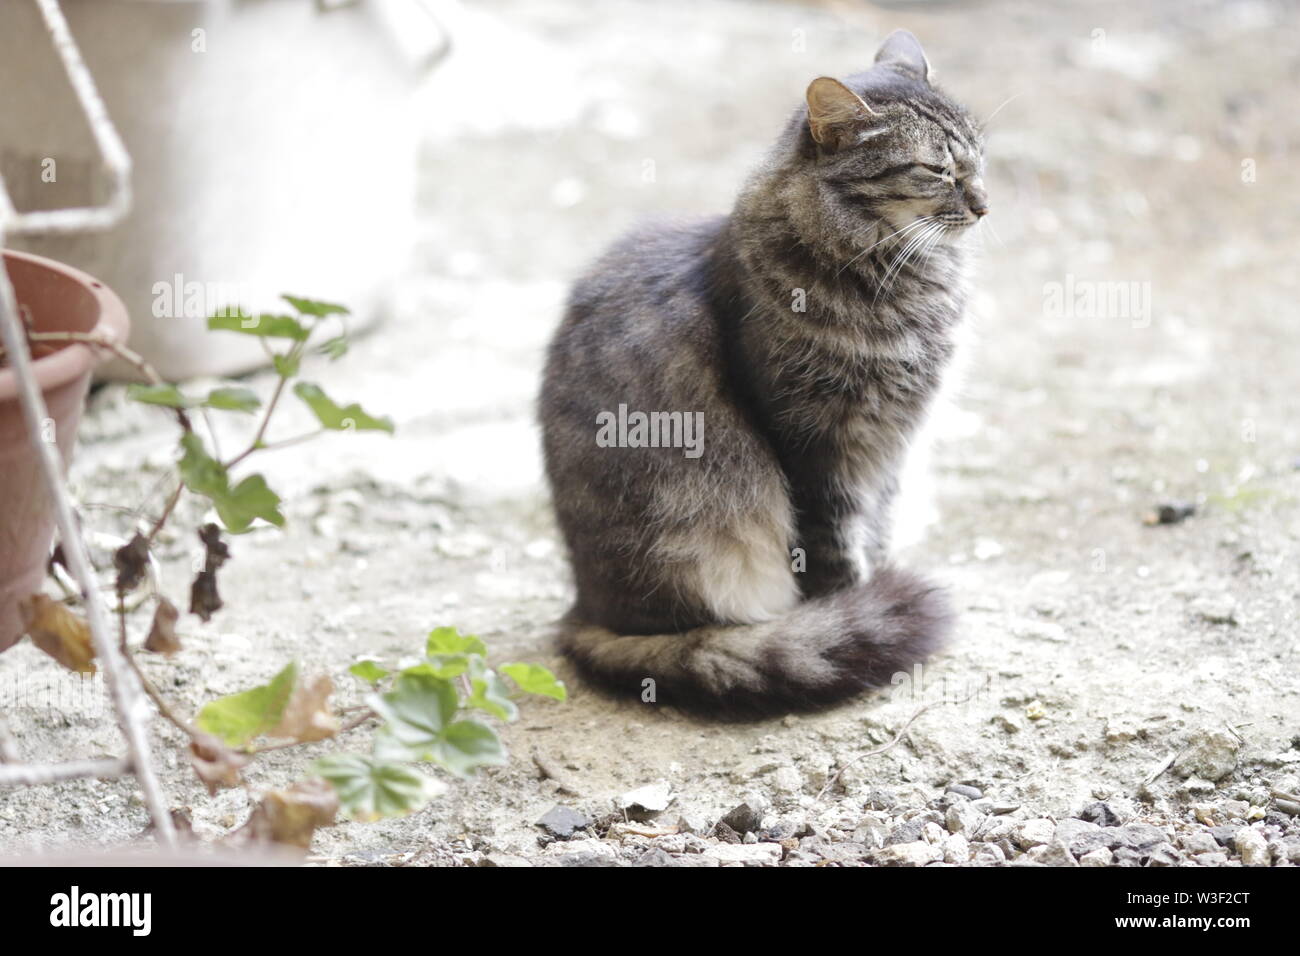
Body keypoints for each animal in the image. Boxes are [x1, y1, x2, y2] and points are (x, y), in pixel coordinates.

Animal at [538, 27, 982, 717]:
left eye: (980, 157)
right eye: (937, 170)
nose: (987, 205)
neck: (901, 280)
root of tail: (585, 610)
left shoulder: (890, 446)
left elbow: (877, 529)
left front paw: (877, 582)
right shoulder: (817, 446)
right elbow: (833, 549)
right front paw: (850, 608)